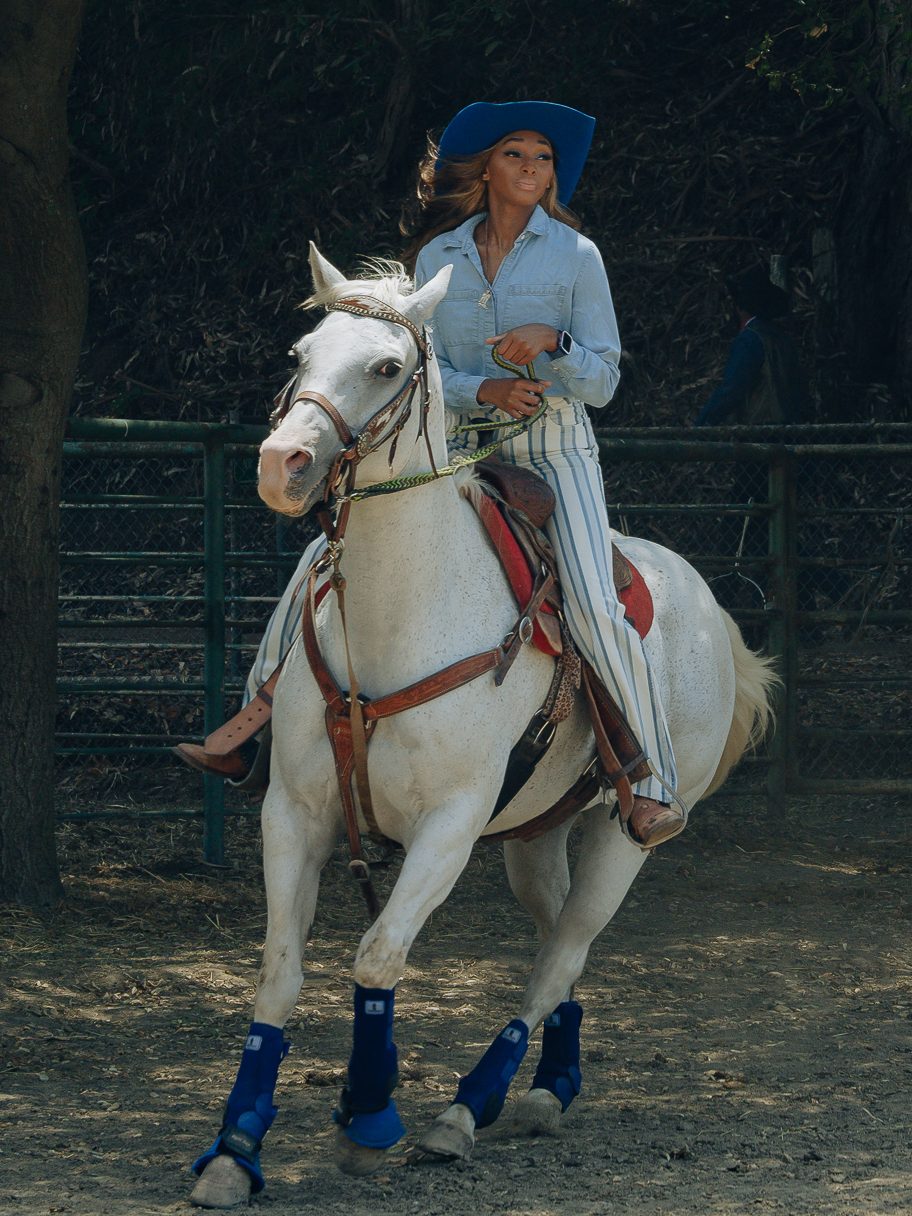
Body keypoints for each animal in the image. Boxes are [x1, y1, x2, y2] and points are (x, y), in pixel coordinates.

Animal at [189, 244, 773, 1206]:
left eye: (387, 366)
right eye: (300, 355)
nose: (284, 464)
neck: (401, 613)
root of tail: (709, 608)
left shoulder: (451, 825)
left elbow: (378, 957)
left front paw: (369, 1116)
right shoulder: (295, 813)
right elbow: (279, 977)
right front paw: (235, 1150)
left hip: (624, 834)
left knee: (563, 952)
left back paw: (465, 1112)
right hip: (536, 837)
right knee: (554, 944)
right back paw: (544, 1090)